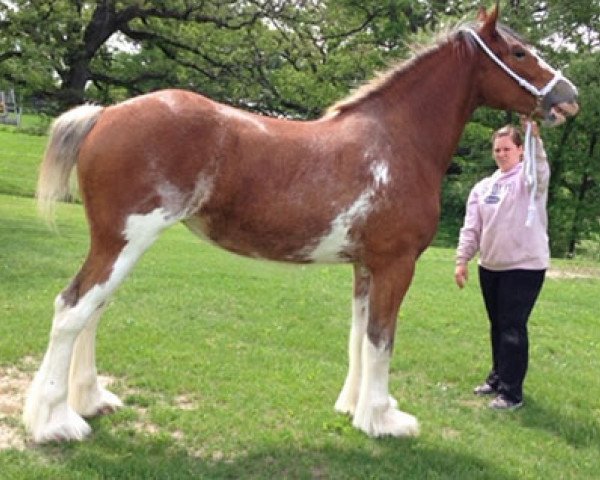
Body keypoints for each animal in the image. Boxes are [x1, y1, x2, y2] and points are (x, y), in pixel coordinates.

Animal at [23, 6, 576, 442]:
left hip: (120, 244)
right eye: (519, 53)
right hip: (124, 239)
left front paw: (355, 408)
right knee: (72, 308)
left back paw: (92, 400)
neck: (396, 141)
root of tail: (105, 114)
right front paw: (383, 420)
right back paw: (56, 423)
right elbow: (382, 339)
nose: (568, 98)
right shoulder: (396, 265)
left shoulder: (366, 267)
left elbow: (359, 335)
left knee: (93, 310)